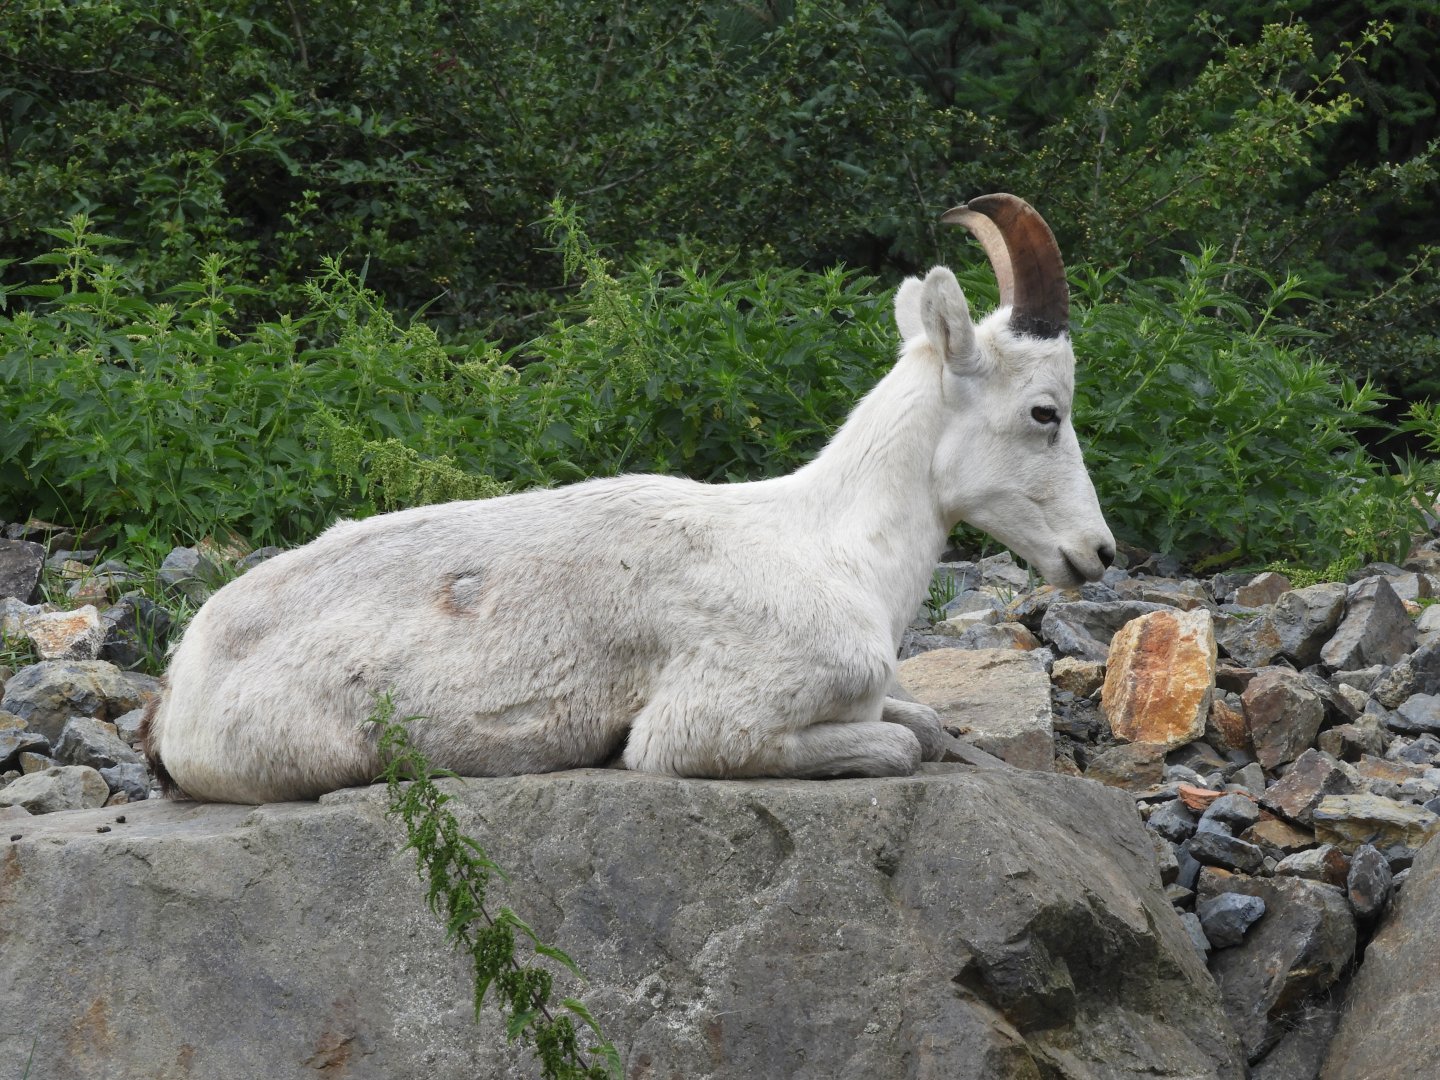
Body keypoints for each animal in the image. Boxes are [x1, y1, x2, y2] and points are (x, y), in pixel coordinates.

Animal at [142, 193, 1115, 803]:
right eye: (1045, 411)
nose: (1097, 554)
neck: (831, 550)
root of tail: (180, 689)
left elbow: (925, 719)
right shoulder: (710, 727)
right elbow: (902, 742)